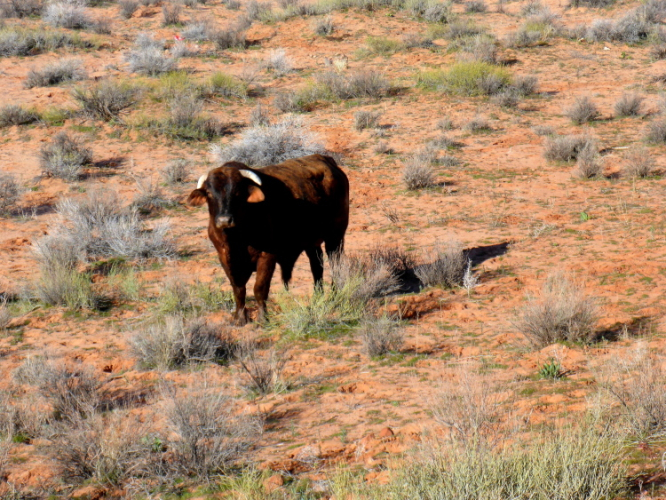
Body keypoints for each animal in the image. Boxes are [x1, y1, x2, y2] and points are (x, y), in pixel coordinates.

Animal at [188, 154, 349, 324]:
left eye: (238, 192)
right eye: (209, 193)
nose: (224, 220)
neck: (236, 238)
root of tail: (326, 160)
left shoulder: (267, 256)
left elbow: (259, 288)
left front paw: (262, 317)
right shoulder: (225, 258)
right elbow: (238, 289)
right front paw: (240, 317)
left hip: (335, 236)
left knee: (336, 264)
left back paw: (335, 295)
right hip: (312, 242)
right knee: (317, 265)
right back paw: (317, 297)